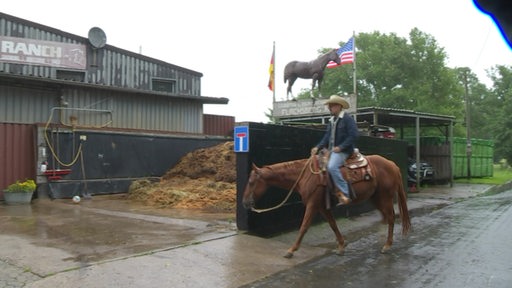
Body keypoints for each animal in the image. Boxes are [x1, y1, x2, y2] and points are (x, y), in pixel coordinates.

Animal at [241, 155, 412, 258]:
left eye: (251, 181)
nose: (244, 202)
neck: (306, 175)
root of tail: (392, 164)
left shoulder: (312, 204)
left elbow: (304, 227)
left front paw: (291, 250)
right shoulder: (322, 207)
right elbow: (333, 224)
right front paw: (341, 246)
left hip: (385, 197)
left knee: (391, 217)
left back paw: (387, 245)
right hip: (376, 198)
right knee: (386, 217)